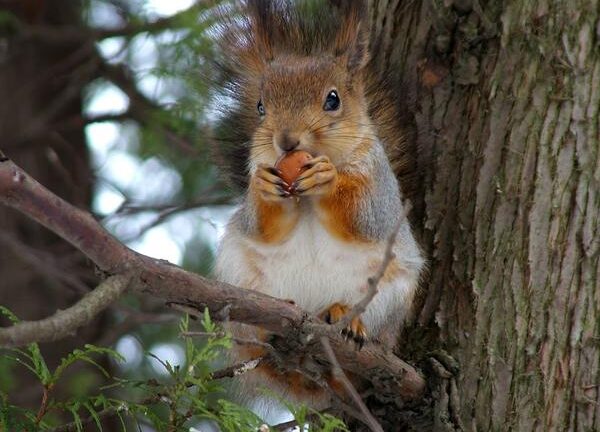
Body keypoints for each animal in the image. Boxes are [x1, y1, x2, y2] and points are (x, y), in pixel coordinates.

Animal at [213, 0, 424, 422]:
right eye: (260, 107)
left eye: (333, 99)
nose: (286, 141)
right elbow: (259, 224)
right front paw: (265, 189)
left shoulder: (381, 190)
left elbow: (365, 216)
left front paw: (328, 179)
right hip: (237, 276)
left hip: (389, 297)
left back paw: (348, 318)